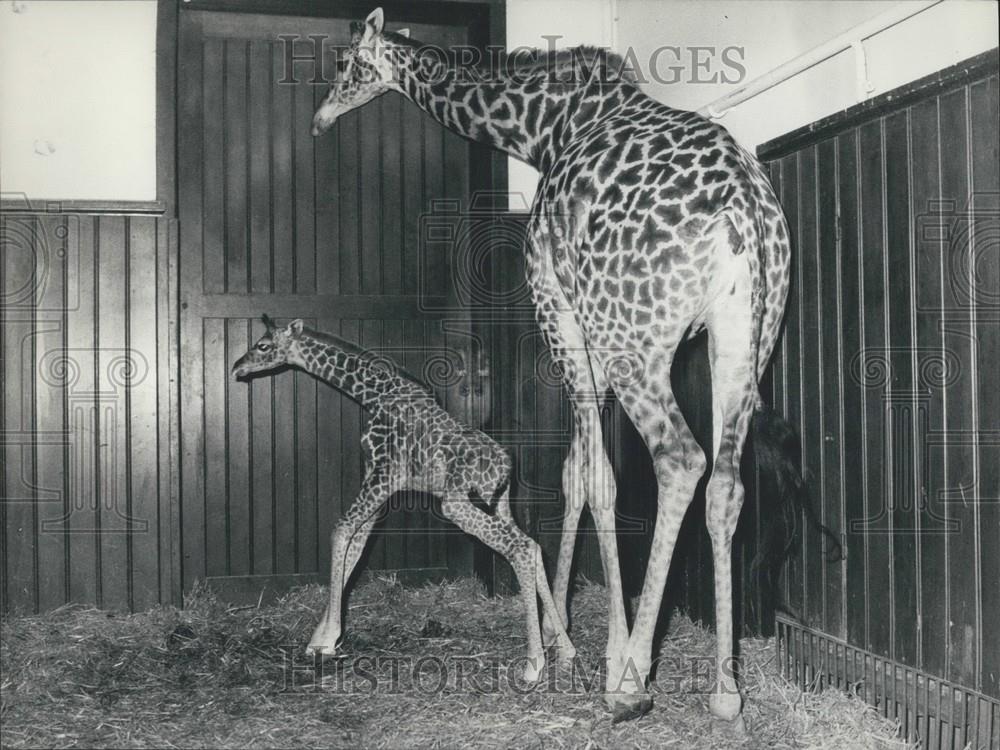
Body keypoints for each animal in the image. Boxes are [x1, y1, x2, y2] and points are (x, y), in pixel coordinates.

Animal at [231, 316, 576, 680]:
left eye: (263, 345)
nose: (237, 367)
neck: (374, 393)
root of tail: (506, 466)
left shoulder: (384, 475)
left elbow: (341, 531)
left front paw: (329, 638)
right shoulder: (378, 481)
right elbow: (355, 545)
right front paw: (320, 640)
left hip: (455, 504)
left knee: (520, 548)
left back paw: (534, 664)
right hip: (498, 503)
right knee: (533, 547)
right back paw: (565, 649)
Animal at [308, 5, 792, 724]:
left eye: (346, 65)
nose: (319, 118)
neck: (545, 128)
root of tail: (745, 215)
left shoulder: (558, 304)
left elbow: (597, 477)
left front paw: (591, 651)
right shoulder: (597, 331)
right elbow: (575, 472)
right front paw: (566, 628)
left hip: (639, 341)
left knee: (681, 461)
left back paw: (631, 680)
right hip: (743, 339)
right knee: (727, 481)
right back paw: (726, 690)